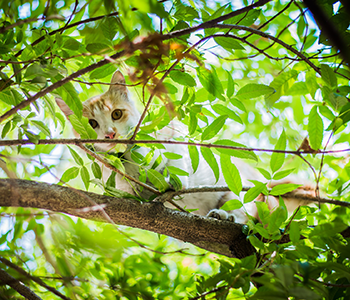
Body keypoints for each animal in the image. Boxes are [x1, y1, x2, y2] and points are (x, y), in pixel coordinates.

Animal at [56, 71, 310, 224]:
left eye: (116, 114)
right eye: (92, 124)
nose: (110, 133)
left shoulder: (173, 134)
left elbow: (174, 158)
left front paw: (174, 179)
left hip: (239, 191)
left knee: (243, 213)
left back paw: (225, 215)